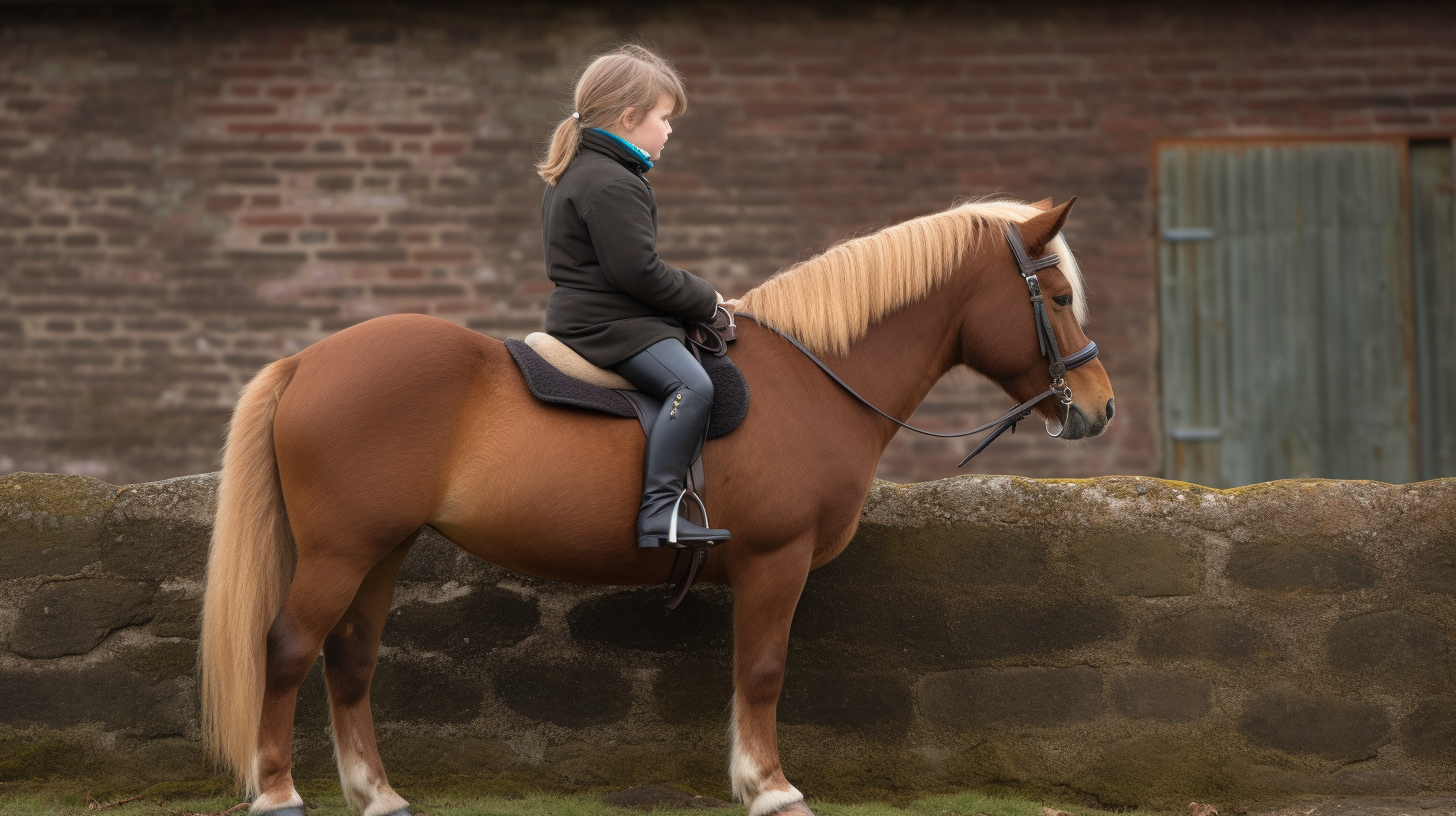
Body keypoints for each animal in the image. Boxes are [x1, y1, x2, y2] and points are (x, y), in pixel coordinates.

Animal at [199, 198, 1112, 816]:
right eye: (1060, 298)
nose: (1098, 409)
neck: (813, 374)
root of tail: (307, 362)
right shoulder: (775, 563)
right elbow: (763, 671)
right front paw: (770, 786)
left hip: (380, 551)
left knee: (349, 660)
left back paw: (378, 794)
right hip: (340, 552)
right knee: (287, 648)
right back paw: (277, 793)